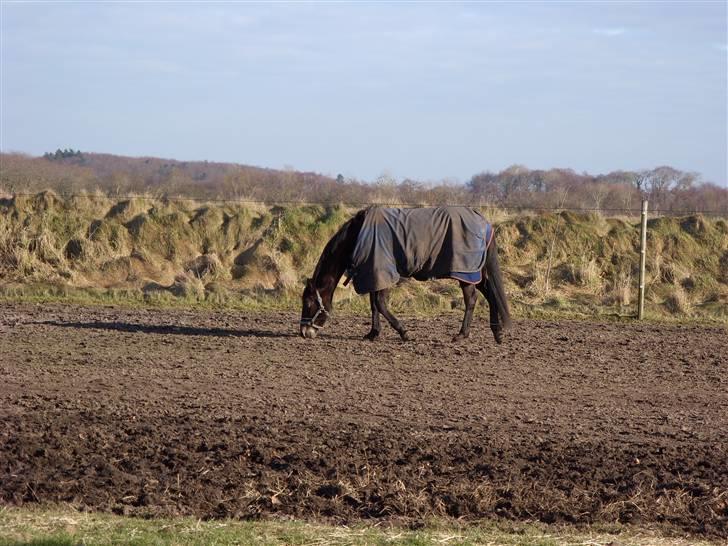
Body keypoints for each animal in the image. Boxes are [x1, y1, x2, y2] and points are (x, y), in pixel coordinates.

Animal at [298, 206, 510, 342]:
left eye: (308, 303)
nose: (304, 332)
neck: (358, 235)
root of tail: (485, 224)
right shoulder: (374, 274)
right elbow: (374, 305)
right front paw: (373, 334)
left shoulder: (381, 272)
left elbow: (380, 304)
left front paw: (404, 333)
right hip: (475, 272)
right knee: (490, 294)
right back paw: (497, 333)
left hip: (466, 274)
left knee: (472, 299)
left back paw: (461, 335)